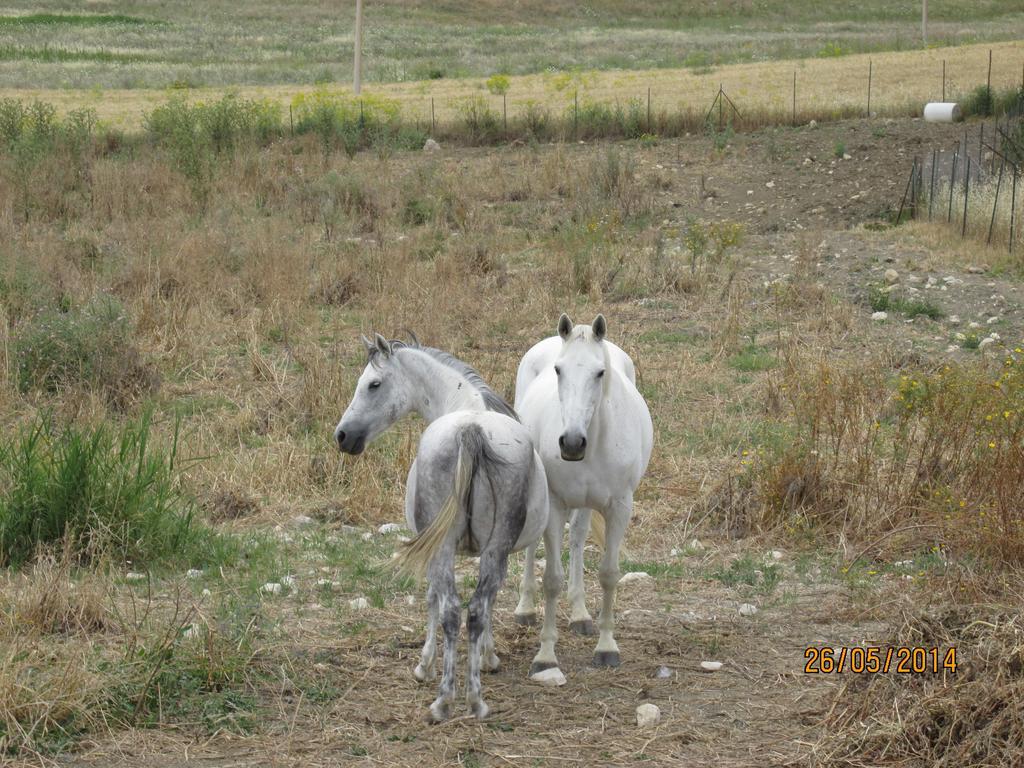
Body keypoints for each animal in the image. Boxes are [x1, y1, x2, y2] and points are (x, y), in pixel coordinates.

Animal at [331, 335, 548, 720]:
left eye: (373, 384)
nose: (342, 435)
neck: (465, 405)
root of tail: (471, 431)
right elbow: (486, 601)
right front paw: (487, 658)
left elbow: (432, 598)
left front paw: (425, 664)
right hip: (490, 548)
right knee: (473, 611)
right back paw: (472, 699)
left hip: (449, 548)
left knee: (452, 609)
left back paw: (446, 697)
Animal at [516, 313, 651, 671]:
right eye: (558, 370)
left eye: (600, 372)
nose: (572, 443)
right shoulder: (554, 504)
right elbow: (551, 579)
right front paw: (546, 655)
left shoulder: (619, 508)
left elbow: (608, 574)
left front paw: (606, 647)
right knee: (533, 545)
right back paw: (525, 608)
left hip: (588, 504)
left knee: (577, 537)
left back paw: (579, 614)